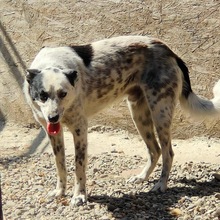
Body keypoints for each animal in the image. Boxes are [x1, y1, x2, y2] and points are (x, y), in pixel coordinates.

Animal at [23, 35, 220, 205]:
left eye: (63, 93)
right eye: (42, 95)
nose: (53, 117)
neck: (53, 63)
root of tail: (169, 50)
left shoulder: (79, 128)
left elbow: (79, 166)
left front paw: (79, 196)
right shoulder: (52, 133)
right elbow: (60, 164)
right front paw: (60, 191)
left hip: (160, 113)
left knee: (167, 153)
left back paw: (161, 184)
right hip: (139, 115)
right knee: (154, 150)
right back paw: (142, 177)